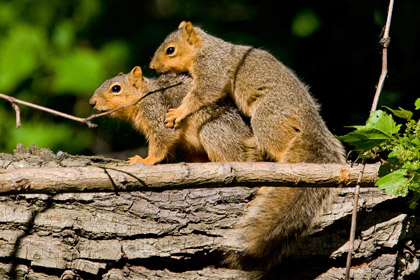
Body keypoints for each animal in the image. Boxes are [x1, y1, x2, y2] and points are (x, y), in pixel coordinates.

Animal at [88, 66, 260, 165]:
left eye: (116, 88)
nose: (92, 102)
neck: (144, 97)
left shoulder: (158, 114)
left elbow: (162, 140)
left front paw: (146, 160)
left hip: (213, 130)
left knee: (235, 157)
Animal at [149, 20, 346, 270]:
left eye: (170, 50)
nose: (152, 66)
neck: (206, 49)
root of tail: (308, 114)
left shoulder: (212, 70)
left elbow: (203, 94)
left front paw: (179, 112)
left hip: (266, 118)